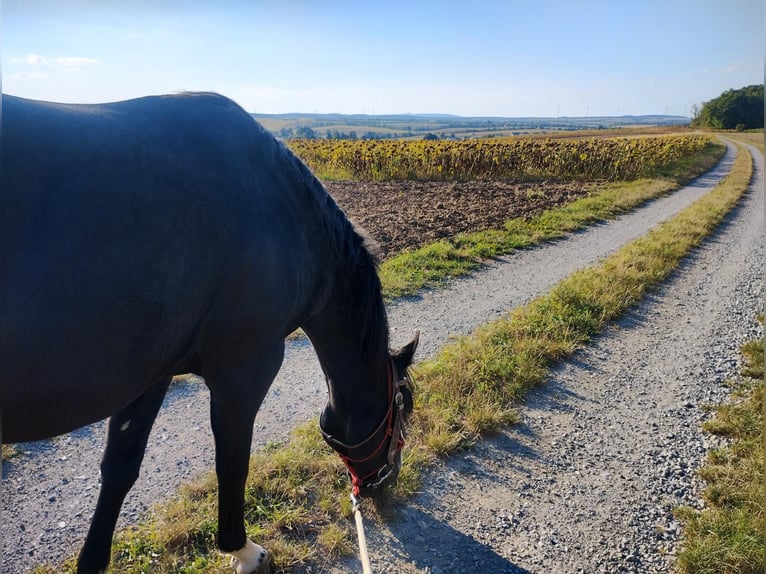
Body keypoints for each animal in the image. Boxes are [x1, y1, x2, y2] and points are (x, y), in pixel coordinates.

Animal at [0, 92, 418, 574]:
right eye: (403, 407)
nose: (386, 481)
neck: (289, 215)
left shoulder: (151, 374)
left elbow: (121, 467)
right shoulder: (245, 372)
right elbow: (232, 462)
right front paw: (242, 549)